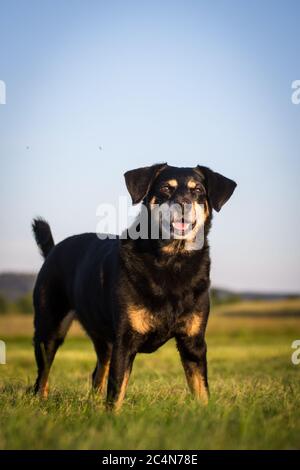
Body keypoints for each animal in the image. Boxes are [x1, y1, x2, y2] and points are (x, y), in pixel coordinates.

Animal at [31, 164, 236, 412]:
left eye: (197, 190)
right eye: (166, 188)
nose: (184, 204)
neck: (172, 261)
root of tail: (52, 251)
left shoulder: (193, 342)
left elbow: (201, 389)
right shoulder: (125, 341)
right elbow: (117, 389)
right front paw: (112, 418)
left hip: (102, 337)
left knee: (97, 372)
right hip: (50, 327)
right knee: (42, 375)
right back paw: (40, 403)